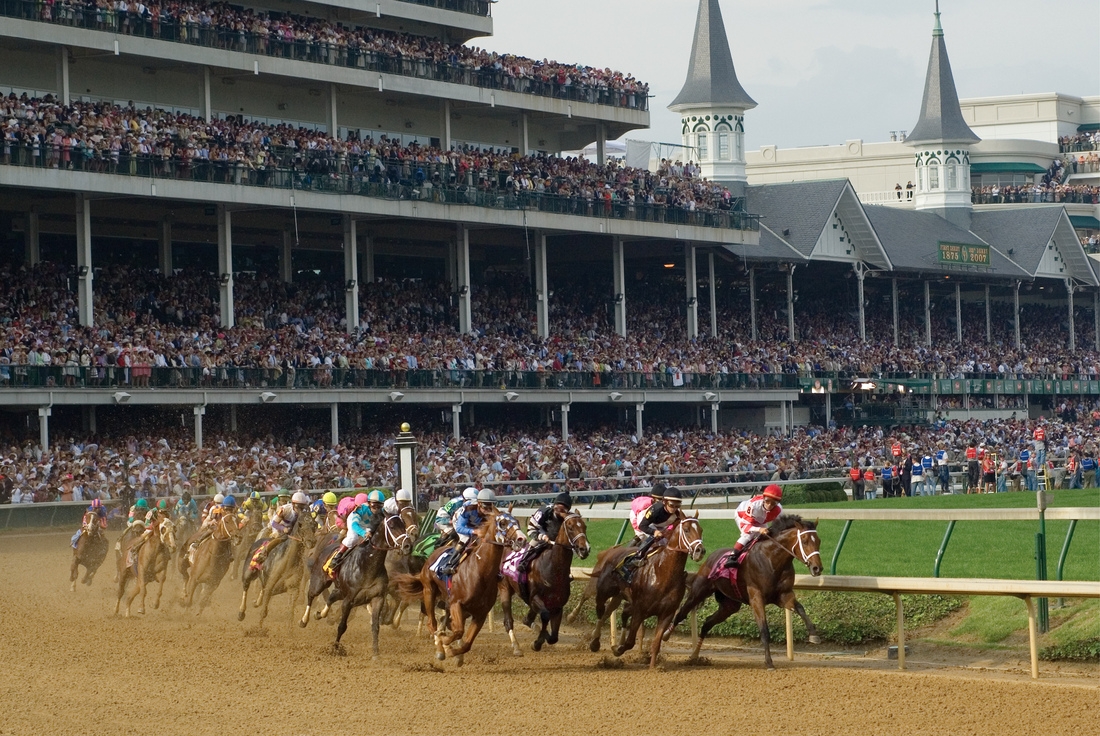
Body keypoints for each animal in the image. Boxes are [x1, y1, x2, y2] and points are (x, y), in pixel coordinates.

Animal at [396, 510, 528, 664]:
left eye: (517, 522)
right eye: (502, 523)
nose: (522, 539)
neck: (480, 572)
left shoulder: (480, 613)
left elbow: (466, 642)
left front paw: (456, 653)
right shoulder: (456, 604)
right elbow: (458, 631)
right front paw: (446, 644)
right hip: (429, 591)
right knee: (431, 622)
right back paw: (438, 647)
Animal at [499, 510, 589, 655]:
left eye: (584, 526)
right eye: (570, 527)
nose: (584, 549)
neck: (552, 568)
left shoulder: (558, 605)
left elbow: (554, 637)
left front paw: (539, 638)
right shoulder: (536, 598)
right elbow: (546, 618)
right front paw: (537, 642)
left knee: (529, 618)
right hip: (504, 588)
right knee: (508, 621)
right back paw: (516, 647)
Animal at [585, 514, 704, 668]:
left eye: (701, 530)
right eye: (687, 529)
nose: (700, 551)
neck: (662, 573)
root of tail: (610, 552)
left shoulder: (667, 613)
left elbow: (656, 644)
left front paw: (653, 667)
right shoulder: (640, 610)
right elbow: (630, 642)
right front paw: (618, 649)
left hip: (619, 596)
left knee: (611, 612)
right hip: (604, 591)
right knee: (600, 612)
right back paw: (594, 642)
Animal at [664, 517, 822, 664]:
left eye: (819, 541)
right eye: (805, 540)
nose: (817, 568)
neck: (772, 559)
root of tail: (710, 557)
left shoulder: (784, 595)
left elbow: (801, 609)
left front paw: (813, 635)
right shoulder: (756, 597)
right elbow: (764, 630)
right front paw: (769, 661)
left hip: (730, 605)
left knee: (707, 623)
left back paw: (695, 655)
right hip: (699, 591)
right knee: (682, 613)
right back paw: (665, 635)